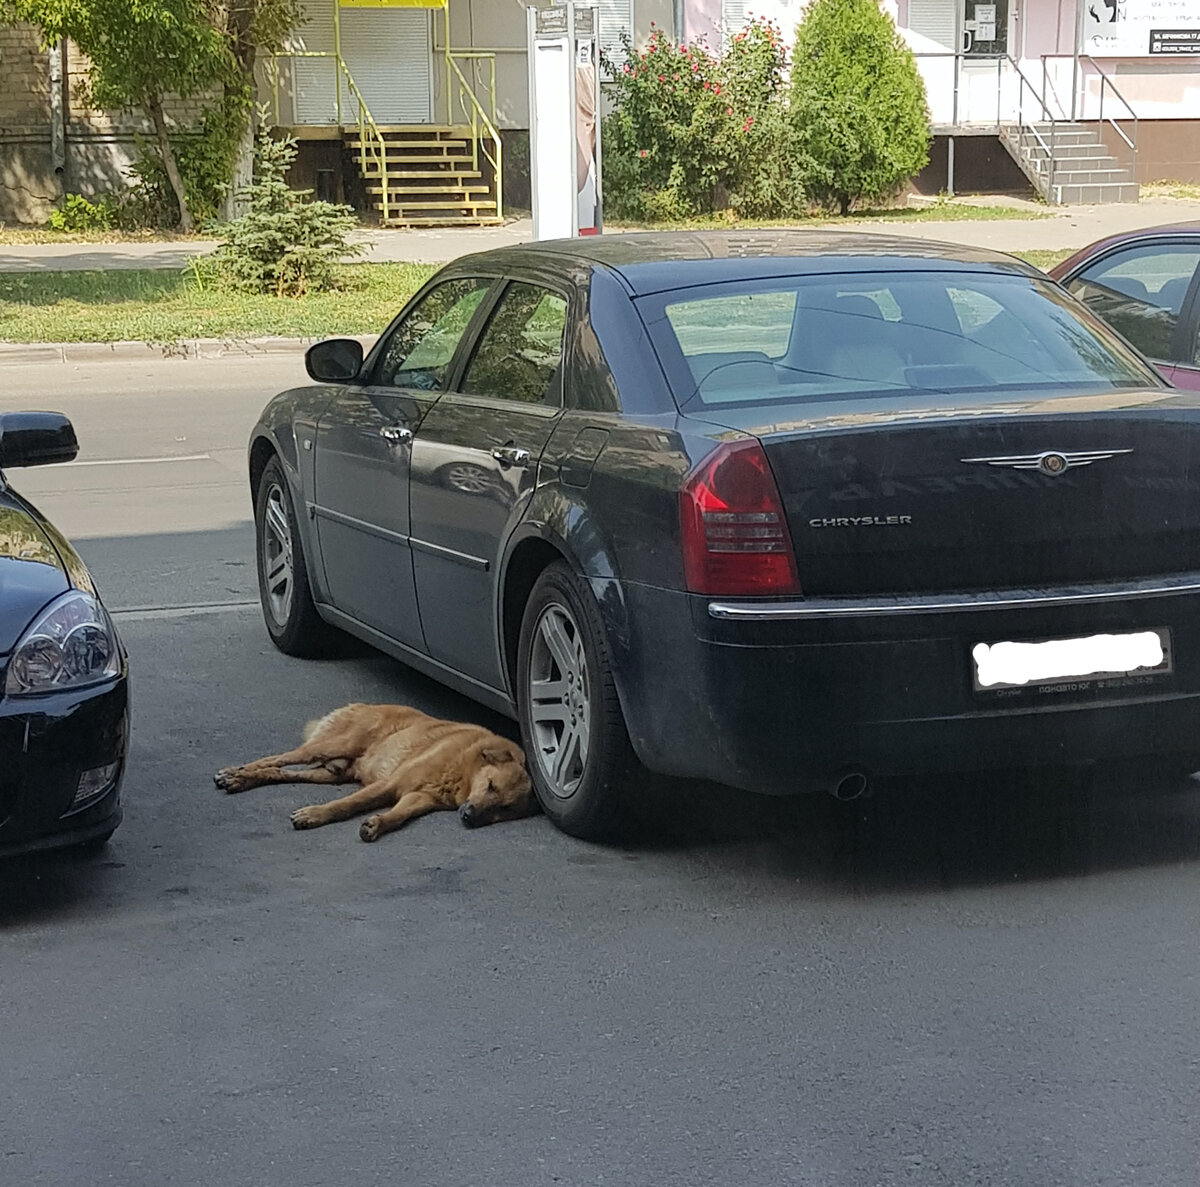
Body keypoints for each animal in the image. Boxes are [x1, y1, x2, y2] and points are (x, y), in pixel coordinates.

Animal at [214, 700, 535, 840]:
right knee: (275, 759)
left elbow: (399, 815)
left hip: (329, 773)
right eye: (491, 785)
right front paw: (315, 815)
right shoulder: (390, 784)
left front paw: (378, 823)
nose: (468, 817)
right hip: (329, 745)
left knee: (281, 772)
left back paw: (242, 779)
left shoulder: (419, 798)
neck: (464, 770)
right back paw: (235, 772)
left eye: (505, 809)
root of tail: (363, 703)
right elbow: (346, 804)